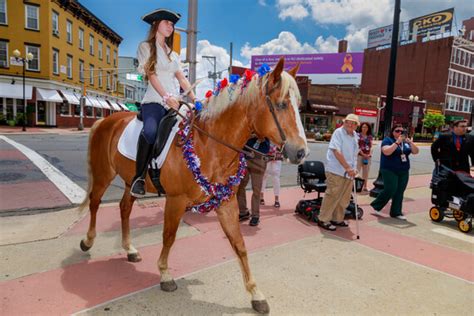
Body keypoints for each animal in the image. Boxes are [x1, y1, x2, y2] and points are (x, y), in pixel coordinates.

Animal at [78, 57, 308, 314]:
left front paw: (255, 294)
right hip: (103, 174)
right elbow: (169, 236)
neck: (208, 144)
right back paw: (88, 241)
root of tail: (105, 120)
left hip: (130, 181)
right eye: (281, 104)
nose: (301, 152)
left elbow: (239, 245)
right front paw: (165, 274)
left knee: (124, 207)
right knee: (95, 202)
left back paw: (129, 249)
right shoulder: (176, 200)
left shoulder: (226, 202)